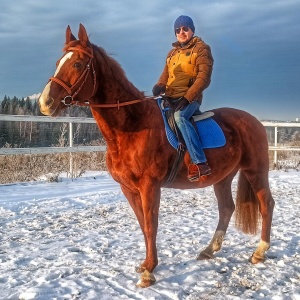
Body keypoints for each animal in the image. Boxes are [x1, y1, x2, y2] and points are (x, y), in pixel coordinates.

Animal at [39, 24, 274, 288]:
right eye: (59, 62)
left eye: (78, 64)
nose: (45, 102)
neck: (133, 126)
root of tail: (255, 121)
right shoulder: (129, 189)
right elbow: (143, 225)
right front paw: (146, 264)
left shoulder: (149, 186)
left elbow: (152, 225)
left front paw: (149, 272)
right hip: (223, 177)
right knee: (226, 208)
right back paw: (209, 250)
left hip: (256, 170)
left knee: (266, 204)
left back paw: (260, 251)